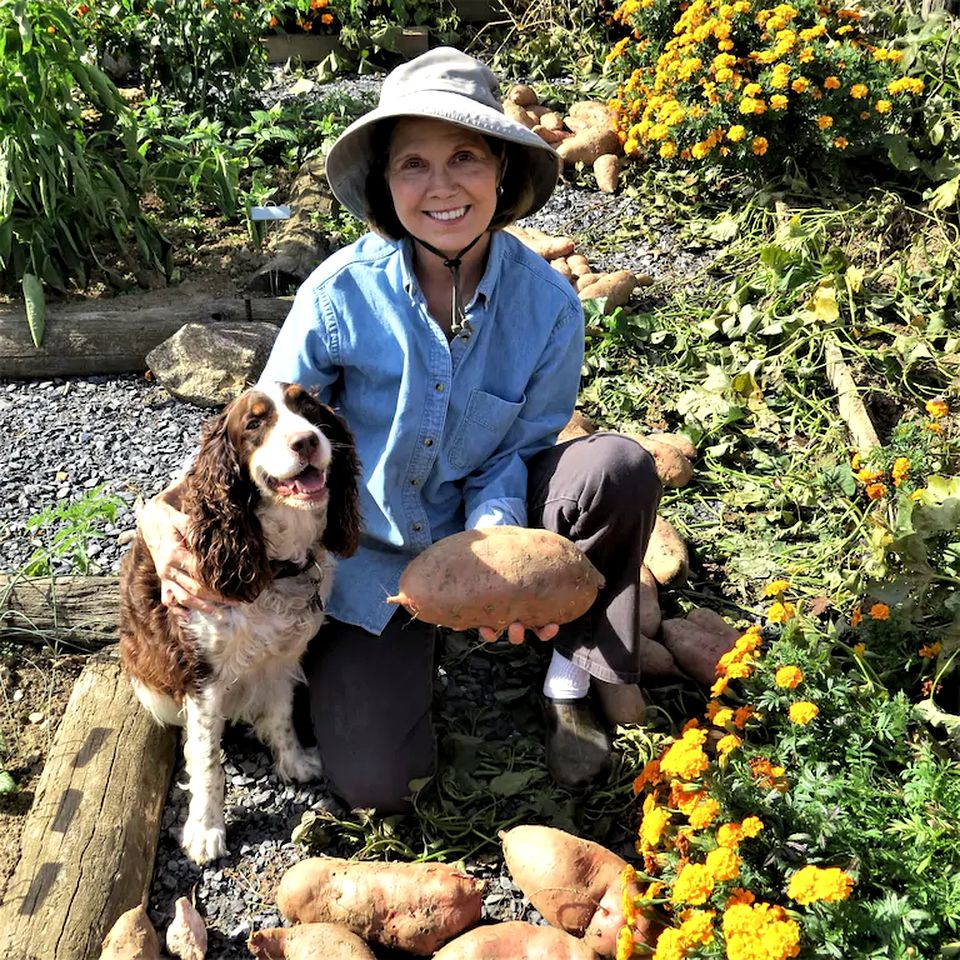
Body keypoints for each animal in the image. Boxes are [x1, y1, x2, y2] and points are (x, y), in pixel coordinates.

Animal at [119, 380, 360, 864]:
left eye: (309, 409)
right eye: (253, 423)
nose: (307, 441)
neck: (271, 562)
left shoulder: (284, 655)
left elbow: (282, 715)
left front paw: (293, 762)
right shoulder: (203, 675)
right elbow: (207, 760)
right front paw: (205, 829)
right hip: (152, 687)